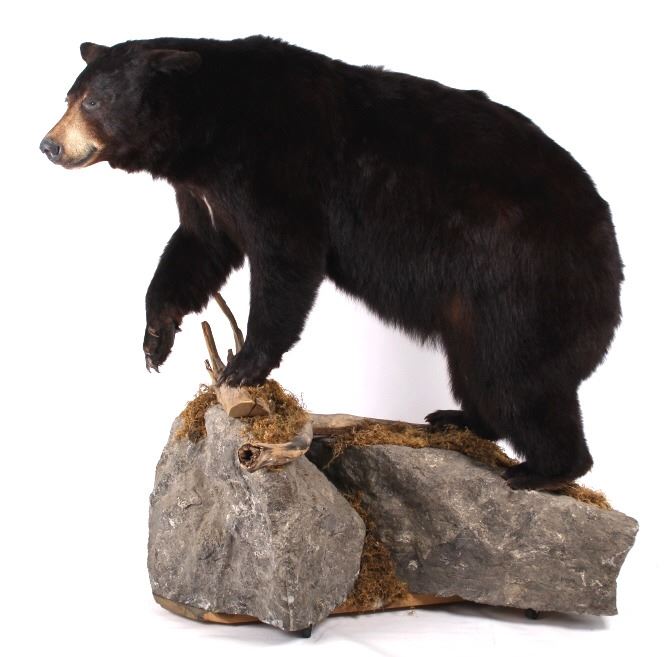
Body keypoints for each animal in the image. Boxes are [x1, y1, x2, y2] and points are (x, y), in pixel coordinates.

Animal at [40, 36, 623, 491]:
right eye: (70, 96)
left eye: (95, 100)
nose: (49, 145)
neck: (209, 128)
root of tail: (610, 243)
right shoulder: (205, 192)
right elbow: (197, 248)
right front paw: (155, 340)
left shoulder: (275, 166)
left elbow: (286, 257)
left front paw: (245, 363)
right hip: (479, 308)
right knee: (478, 369)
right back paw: (456, 418)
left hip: (525, 280)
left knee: (518, 377)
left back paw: (545, 470)